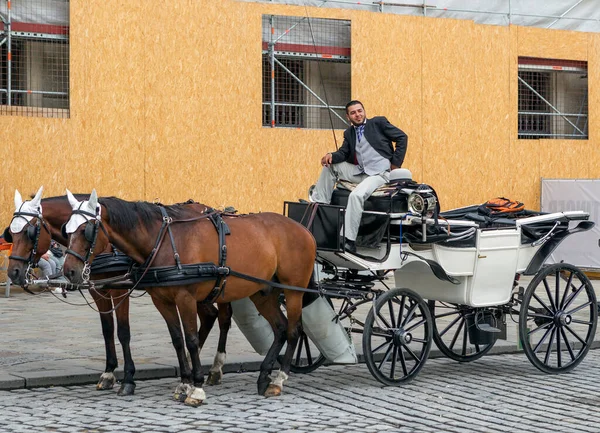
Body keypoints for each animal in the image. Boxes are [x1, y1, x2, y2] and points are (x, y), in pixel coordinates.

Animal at [4, 186, 234, 394]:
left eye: (29, 232)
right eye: (10, 234)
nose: (14, 272)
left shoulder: (119, 290)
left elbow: (123, 331)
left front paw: (128, 379)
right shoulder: (99, 290)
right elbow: (107, 330)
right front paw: (108, 373)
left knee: (223, 318)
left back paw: (216, 367)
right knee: (210, 316)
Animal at [62, 189, 316, 404]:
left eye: (86, 230)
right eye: (67, 229)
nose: (69, 271)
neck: (164, 240)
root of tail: (304, 230)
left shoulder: (185, 298)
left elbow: (192, 339)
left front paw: (196, 388)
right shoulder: (162, 300)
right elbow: (177, 339)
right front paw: (184, 384)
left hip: (293, 290)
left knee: (294, 330)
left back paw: (278, 379)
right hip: (262, 292)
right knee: (280, 328)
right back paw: (264, 377)